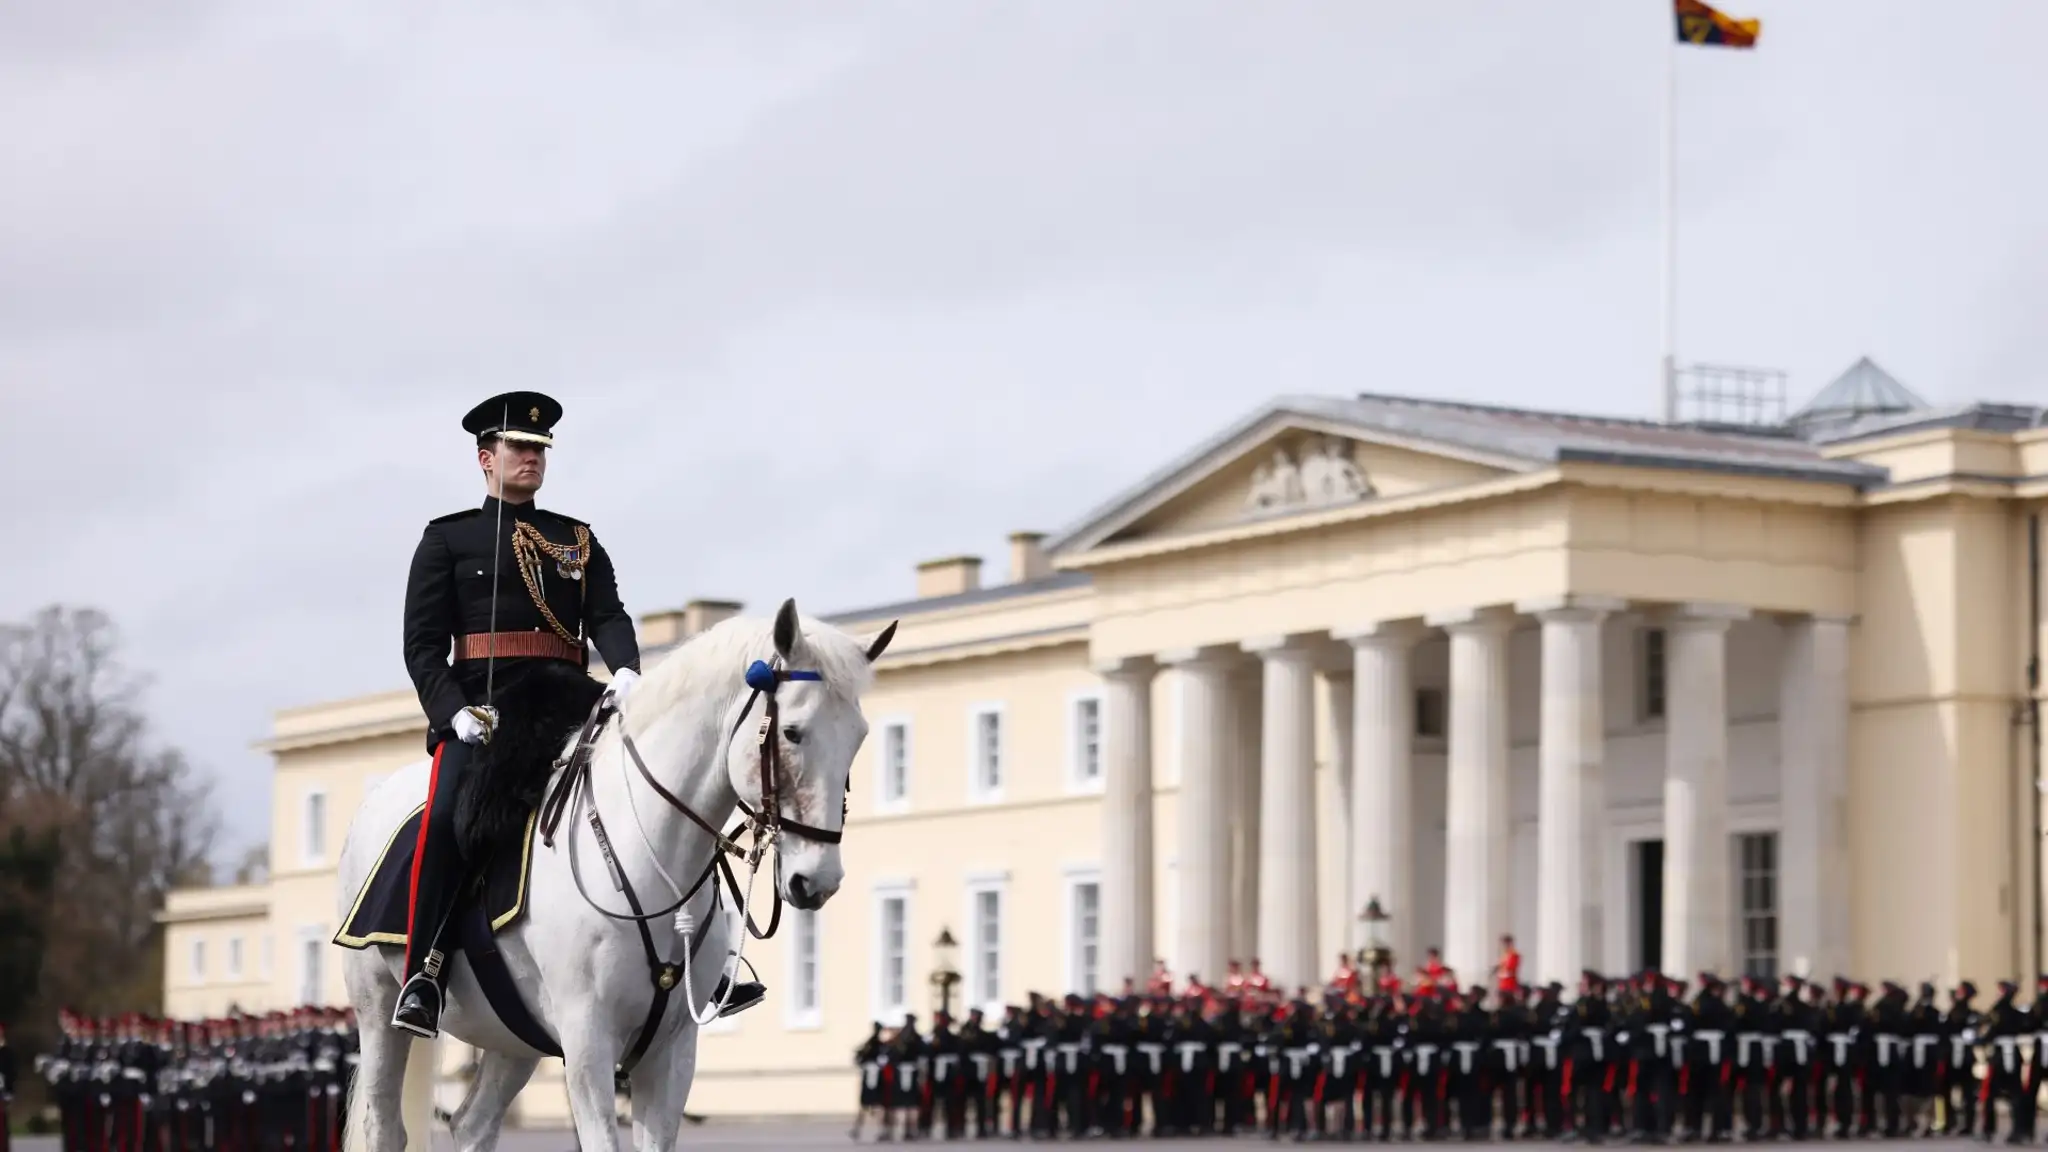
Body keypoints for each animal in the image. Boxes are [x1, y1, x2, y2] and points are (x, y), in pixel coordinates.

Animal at [335, 602, 897, 1147]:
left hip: (515, 1035)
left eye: (859, 738)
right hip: (379, 1011)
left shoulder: (672, 1051)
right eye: (792, 732)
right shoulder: (588, 1042)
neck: (650, 856)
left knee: (474, 1125)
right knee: (386, 1126)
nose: (817, 879)